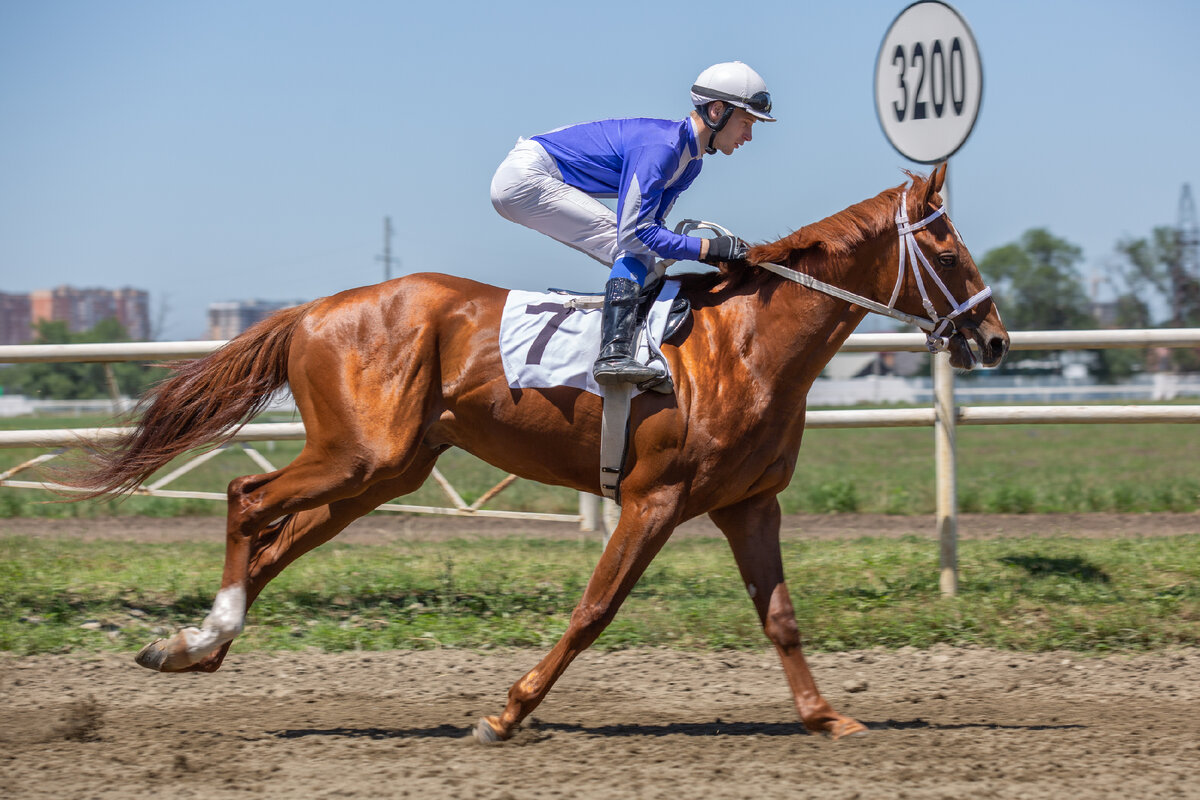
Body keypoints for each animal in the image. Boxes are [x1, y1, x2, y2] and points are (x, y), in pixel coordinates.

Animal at [70, 164, 1008, 743]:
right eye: (949, 248)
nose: (995, 339)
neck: (745, 345)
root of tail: (313, 310)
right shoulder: (655, 498)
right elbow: (594, 610)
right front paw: (507, 713)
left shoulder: (750, 503)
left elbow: (779, 616)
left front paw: (825, 718)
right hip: (359, 454)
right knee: (245, 495)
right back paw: (210, 631)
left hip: (386, 470)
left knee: (275, 540)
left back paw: (192, 645)